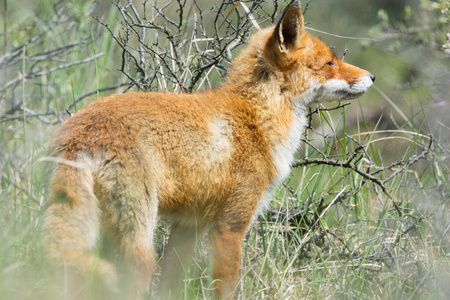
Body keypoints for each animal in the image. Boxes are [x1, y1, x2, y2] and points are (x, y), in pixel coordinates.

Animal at [42, 1, 374, 298]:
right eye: (330, 63)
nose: (371, 76)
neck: (256, 118)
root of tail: (81, 133)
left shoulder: (187, 226)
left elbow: (169, 287)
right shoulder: (231, 227)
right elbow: (226, 290)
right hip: (140, 247)